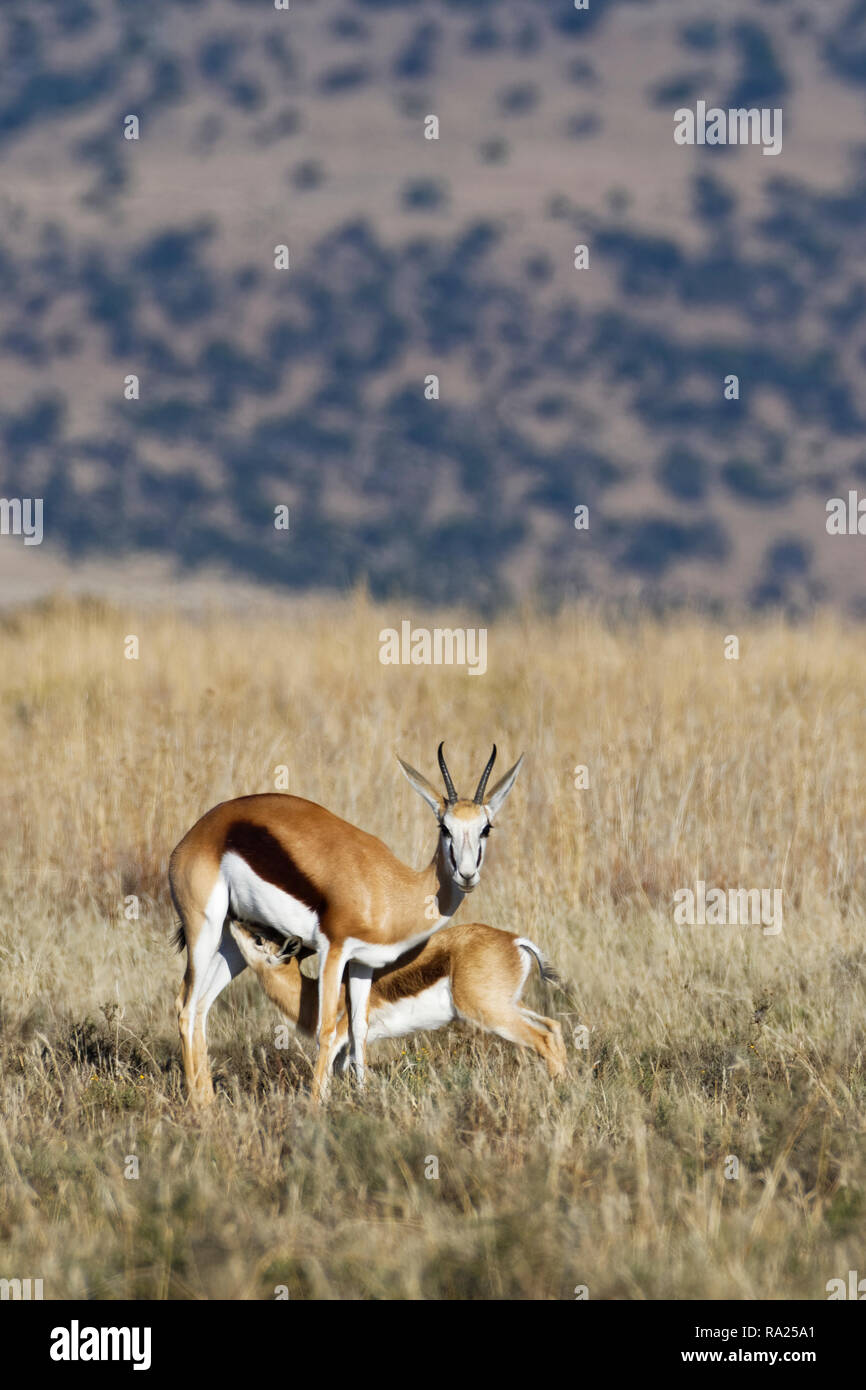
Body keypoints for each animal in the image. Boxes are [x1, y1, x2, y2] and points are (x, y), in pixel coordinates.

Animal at [168, 745, 522, 1112]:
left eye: (486, 828)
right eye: (445, 827)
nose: (466, 875)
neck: (391, 890)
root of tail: (199, 832)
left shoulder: (363, 961)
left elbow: (358, 1028)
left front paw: (363, 1097)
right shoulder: (333, 950)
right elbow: (326, 1028)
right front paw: (316, 1105)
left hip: (232, 942)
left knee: (202, 1007)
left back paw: (208, 1102)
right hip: (204, 930)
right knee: (185, 1006)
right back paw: (197, 1107)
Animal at [229, 922, 569, 1084]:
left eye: (259, 939)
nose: (234, 923)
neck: (314, 994)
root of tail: (514, 941)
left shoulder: (341, 1035)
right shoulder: (352, 1044)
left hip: (491, 1013)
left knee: (541, 1039)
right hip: (510, 1005)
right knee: (553, 1027)